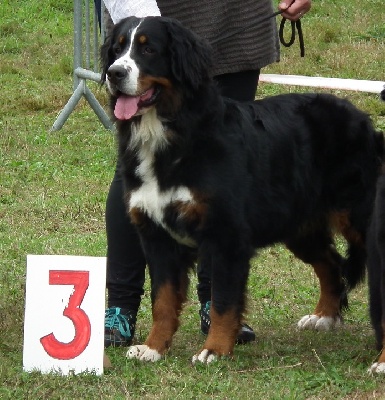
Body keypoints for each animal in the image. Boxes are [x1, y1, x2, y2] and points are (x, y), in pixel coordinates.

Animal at [100, 17, 382, 364]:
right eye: (116, 50)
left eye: (148, 49)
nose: (115, 73)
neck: (171, 135)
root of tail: (361, 118)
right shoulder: (157, 237)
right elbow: (162, 301)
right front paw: (153, 347)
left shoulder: (227, 237)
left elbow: (223, 301)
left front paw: (214, 350)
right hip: (298, 225)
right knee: (330, 263)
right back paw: (324, 317)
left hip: (359, 217)